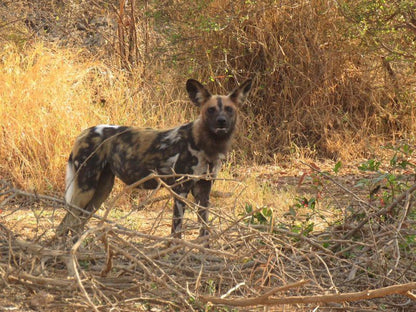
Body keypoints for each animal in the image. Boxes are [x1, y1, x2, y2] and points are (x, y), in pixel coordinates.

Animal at [57, 78, 252, 239]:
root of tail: (83, 133)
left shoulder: (204, 191)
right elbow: (176, 230)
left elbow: (204, 229)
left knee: (76, 225)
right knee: (66, 224)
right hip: (85, 188)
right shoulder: (180, 189)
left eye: (229, 109)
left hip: (101, 190)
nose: (221, 121)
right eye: (211, 110)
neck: (206, 144)